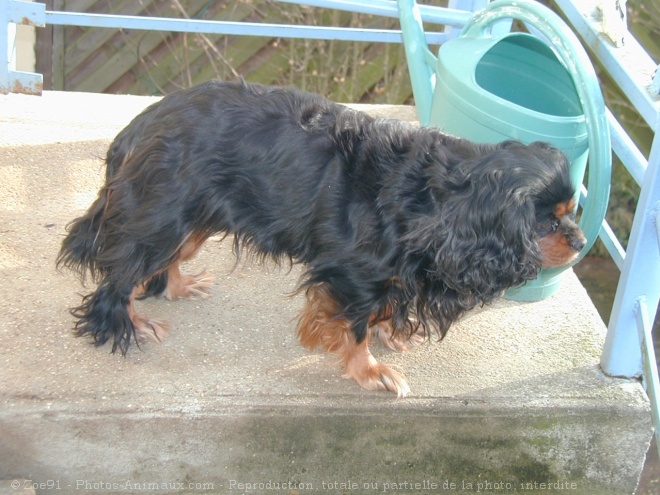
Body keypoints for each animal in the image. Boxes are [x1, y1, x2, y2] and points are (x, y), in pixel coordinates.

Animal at [56, 81, 584, 400]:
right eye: (547, 224)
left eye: (572, 211)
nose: (580, 243)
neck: (441, 198)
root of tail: (143, 121)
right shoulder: (353, 272)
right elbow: (353, 325)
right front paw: (368, 369)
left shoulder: (390, 271)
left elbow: (382, 309)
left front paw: (390, 332)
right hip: (165, 213)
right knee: (119, 275)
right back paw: (127, 322)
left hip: (191, 220)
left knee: (156, 264)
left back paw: (177, 286)